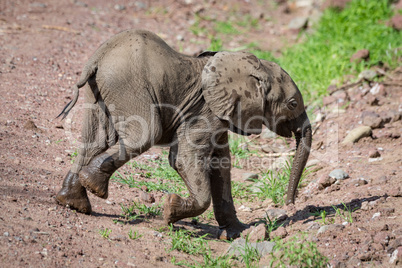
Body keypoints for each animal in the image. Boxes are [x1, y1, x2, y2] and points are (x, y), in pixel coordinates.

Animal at [55, 28, 310, 239]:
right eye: (292, 104)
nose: (290, 203)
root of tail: (97, 57)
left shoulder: (219, 115)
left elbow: (221, 165)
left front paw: (238, 233)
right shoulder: (205, 112)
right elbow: (183, 158)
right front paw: (169, 211)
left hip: (98, 90)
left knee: (95, 142)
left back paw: (73, 202)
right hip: (126, 86)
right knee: (143, 135)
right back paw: (94, 186)